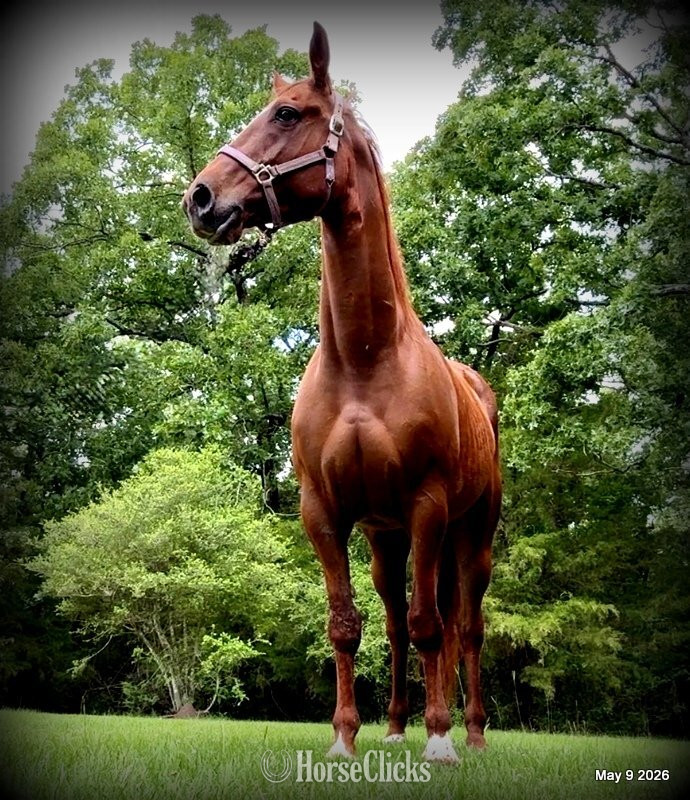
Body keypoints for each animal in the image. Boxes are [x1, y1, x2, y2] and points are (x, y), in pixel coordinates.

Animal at [183, 22, 501, 764]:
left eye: (286, 114)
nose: (201, 198)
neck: (363, 361)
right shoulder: (324, 513)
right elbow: (346, 625)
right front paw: (345, 738)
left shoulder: (427, 506)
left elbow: (432, 625)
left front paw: (439, 739)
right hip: (388, 542)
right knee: (398, 621)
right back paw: (396, 726)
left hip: (470, 537)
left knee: (462, 625)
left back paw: (467, 734)